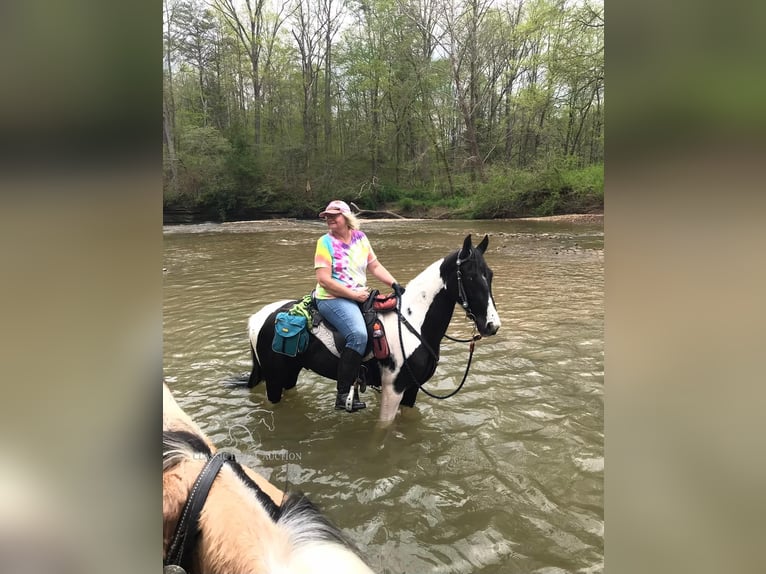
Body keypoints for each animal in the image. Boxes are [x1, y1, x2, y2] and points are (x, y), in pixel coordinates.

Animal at [248, 233, 504, 424]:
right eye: (470, 277)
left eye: (490, 275)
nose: (492, 325)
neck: (414, 323)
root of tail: (258, 317)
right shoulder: (394, 389)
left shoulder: (412, 389)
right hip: (274, 379)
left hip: (290, 373)